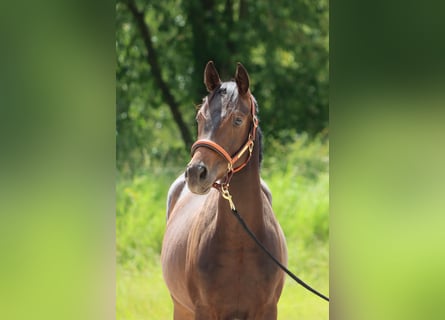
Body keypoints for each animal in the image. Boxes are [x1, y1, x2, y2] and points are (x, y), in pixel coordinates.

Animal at [161, 62, 286, 320]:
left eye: (237, 120)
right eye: (199, 117)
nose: (196, 173)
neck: (240, 244)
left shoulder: (268, 310)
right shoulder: (204, 310)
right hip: (180, 308)